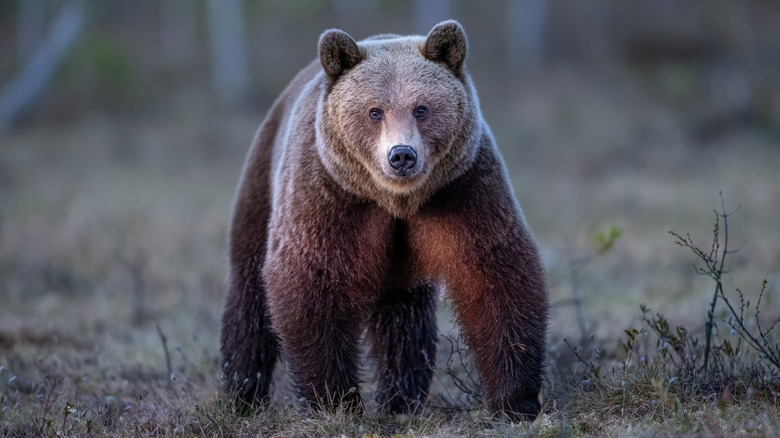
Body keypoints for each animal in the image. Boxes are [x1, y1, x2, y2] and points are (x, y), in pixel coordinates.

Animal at [220, 20, 548, 420]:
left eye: (421, 108)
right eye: (375, 111)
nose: (401, 155)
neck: (395, 200)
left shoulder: (463, 189)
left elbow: (494, 273)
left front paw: (516, 400)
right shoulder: (327, 195)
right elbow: (310, 279)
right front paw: (332, 399)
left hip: (401, 264)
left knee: (404, 319)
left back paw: (401, 398)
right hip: (261, 184)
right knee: (248, 293)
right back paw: (241, 393)